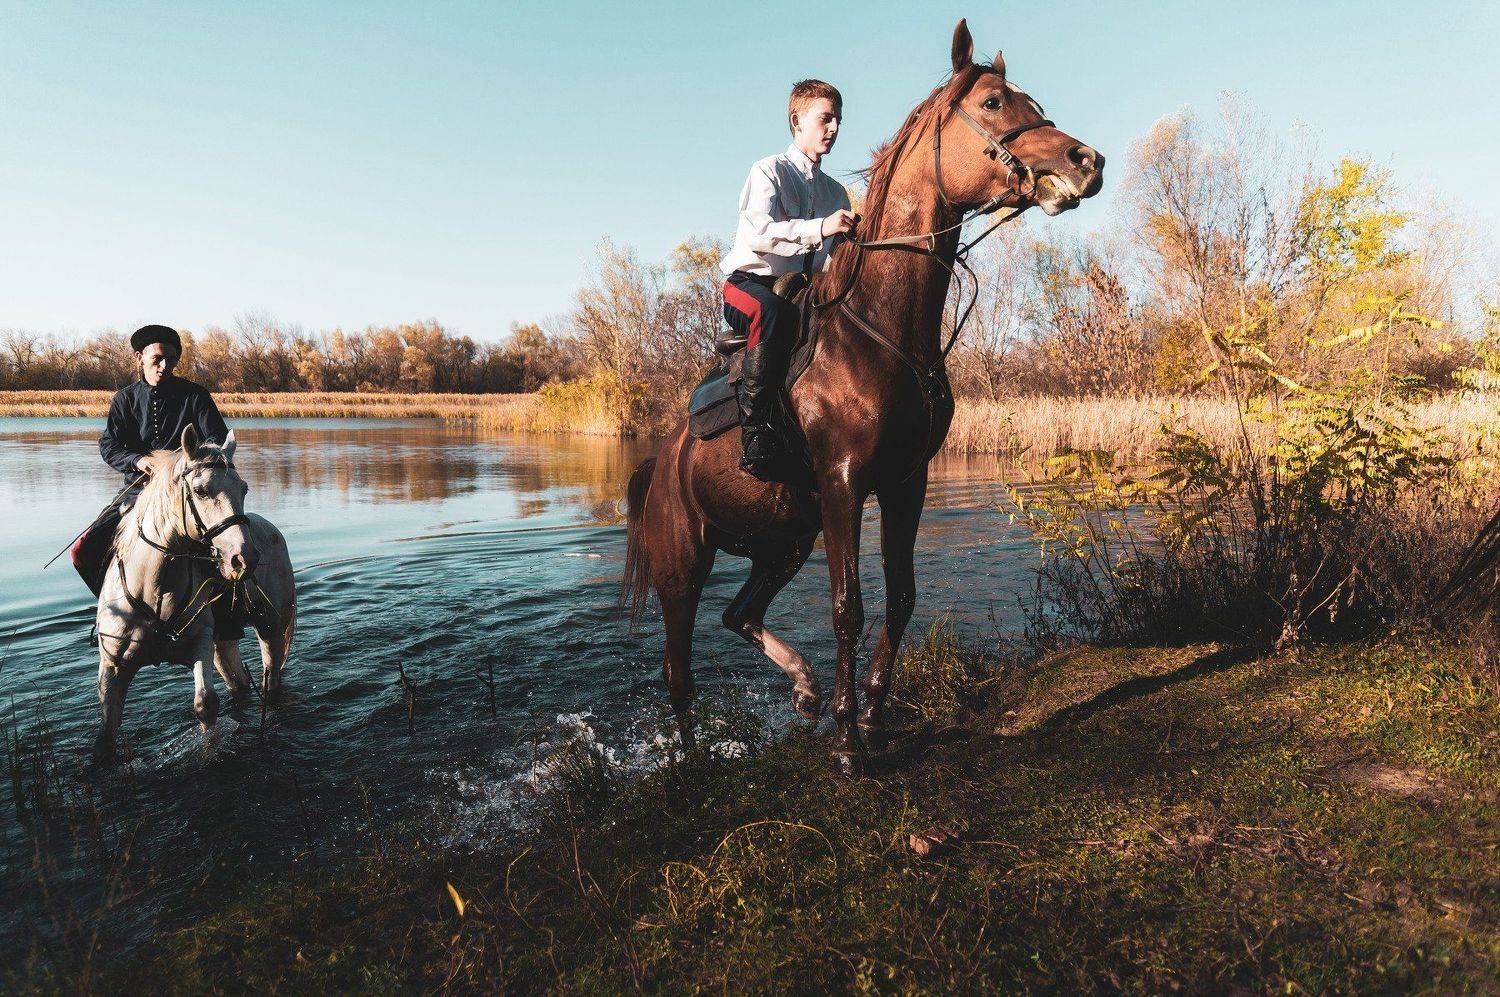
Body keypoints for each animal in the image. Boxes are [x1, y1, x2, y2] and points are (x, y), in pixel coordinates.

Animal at [92, 425, 296, 765]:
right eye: (200, 491)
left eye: (243, 488)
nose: (245, 558)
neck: (155, 589)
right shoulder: (113, 667)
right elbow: (107, 730)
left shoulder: (199, 645)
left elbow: (205, 704)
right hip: (223, 643)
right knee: (238, 680)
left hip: (271, 629)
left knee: (271, 677)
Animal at [622, 19, 1104, 775]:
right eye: (994, 103)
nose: (1086, 160)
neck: (881, 330)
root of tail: (662, 459)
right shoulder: (845, 481)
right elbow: (848, 605)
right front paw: (850, 740)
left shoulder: (906, 480)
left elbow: (901, 597)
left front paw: (874, 714)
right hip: (683, 570)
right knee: (679, 674)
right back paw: (698, 757)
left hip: (782, 541)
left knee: (740, 614)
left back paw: (804, 687)